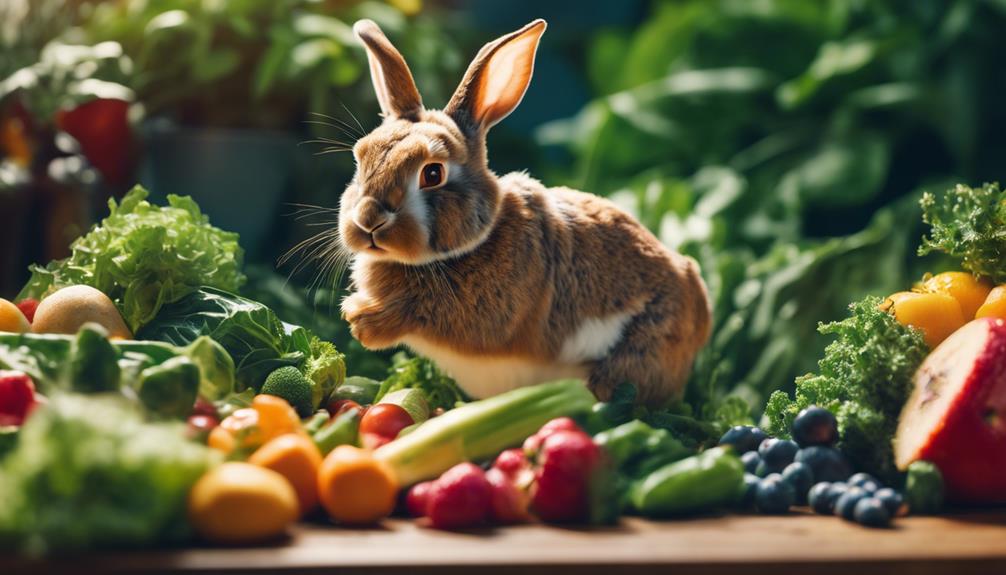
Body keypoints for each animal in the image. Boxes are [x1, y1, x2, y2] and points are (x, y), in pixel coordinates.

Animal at [338, 18, 711, 406]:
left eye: (433, 173)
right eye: (360, 157)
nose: (368, 220)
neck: (472, 244)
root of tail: (702, 315)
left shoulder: (487, 314)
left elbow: (427, 315)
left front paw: (361, 318)